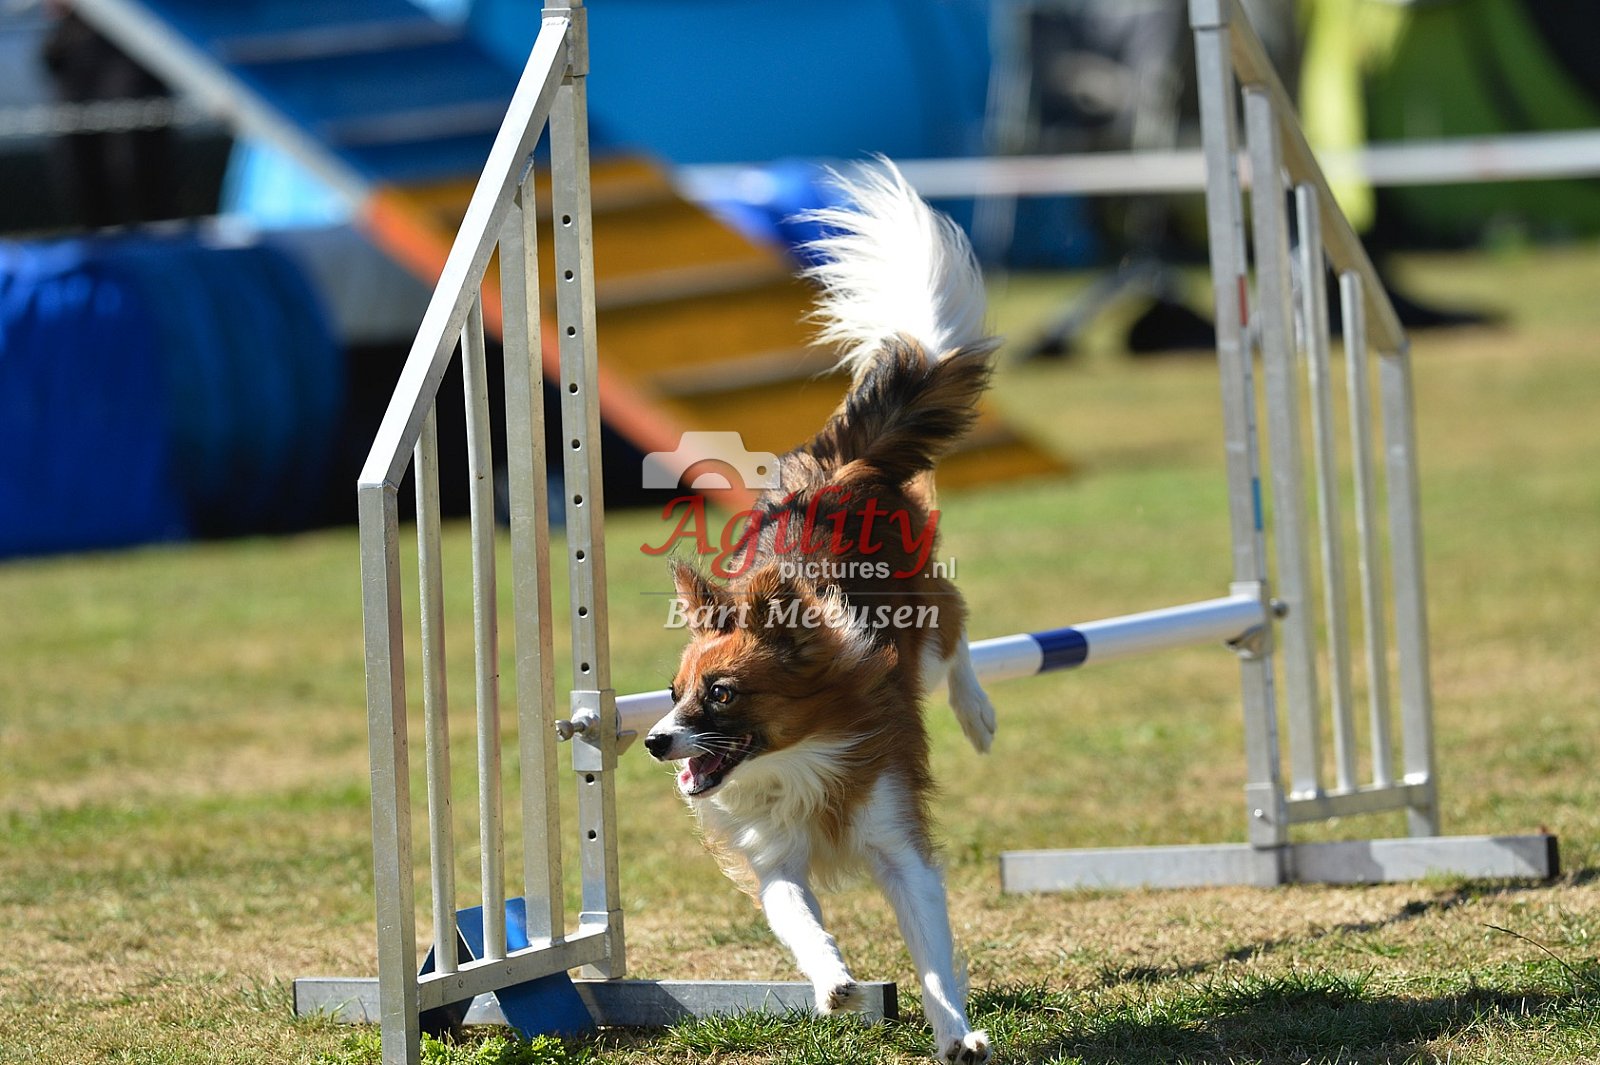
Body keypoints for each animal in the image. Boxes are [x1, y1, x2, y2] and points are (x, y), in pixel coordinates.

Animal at [642, 160, 999, 1065]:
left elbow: (932, 946)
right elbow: (798, 920)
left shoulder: (896, 836)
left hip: (924, 629)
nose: (655, 742)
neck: (794, 757)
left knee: (956, 631)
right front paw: (837, 982)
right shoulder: (772, 859)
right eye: (671, 694)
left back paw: (978, 712)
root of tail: (836, 470)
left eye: (722, 695)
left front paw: (956, 1031)